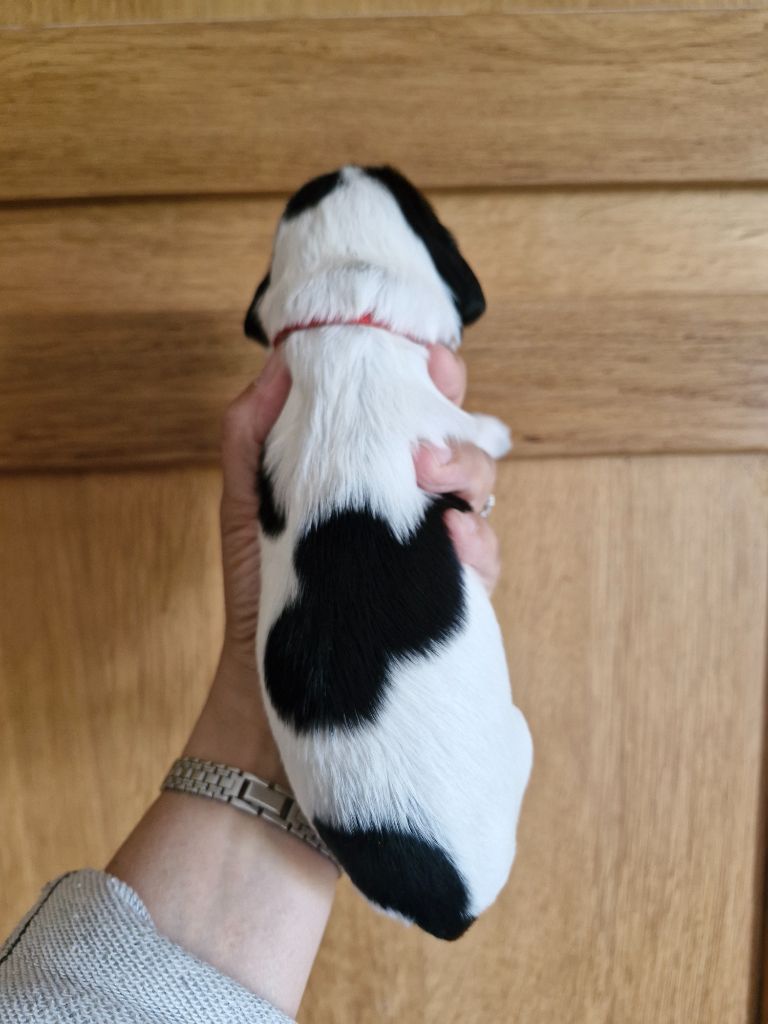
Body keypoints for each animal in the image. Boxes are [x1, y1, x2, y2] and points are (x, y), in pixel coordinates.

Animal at [244, 165, 532, 940]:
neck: (347, 326)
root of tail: (448, 909)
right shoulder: (448, 423)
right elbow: (477, 430)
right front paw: (502, 432)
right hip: (517, 742)